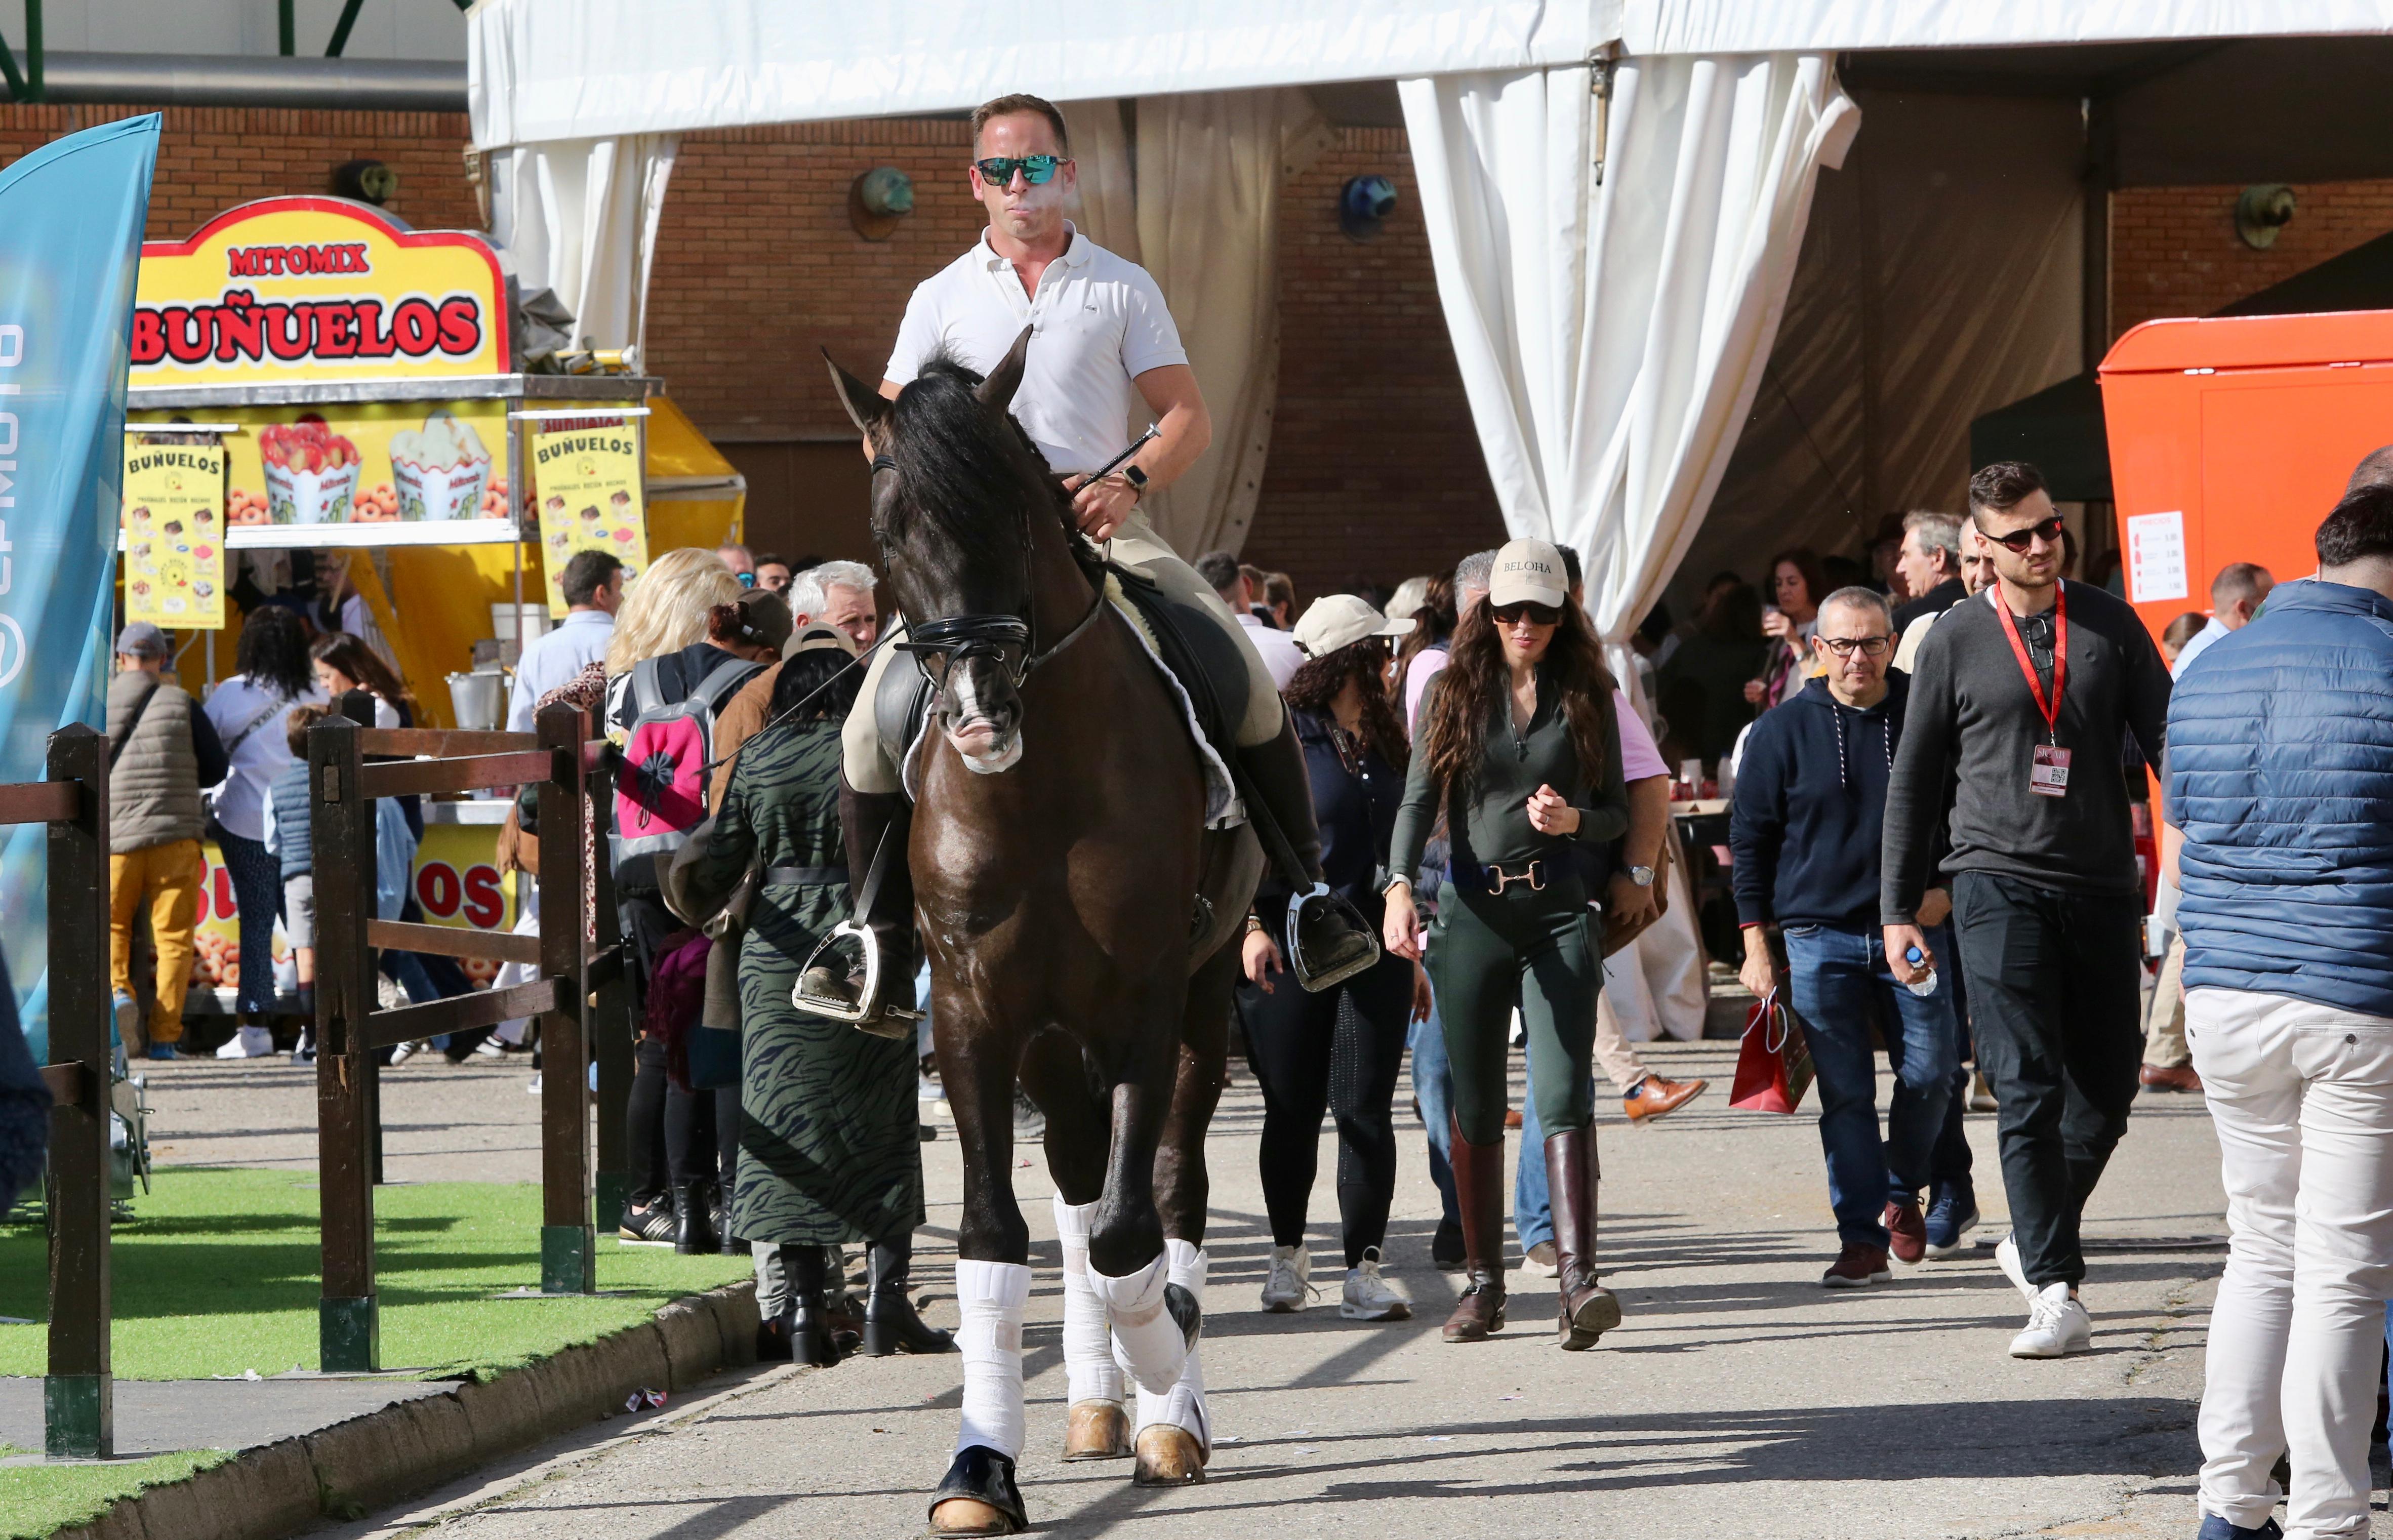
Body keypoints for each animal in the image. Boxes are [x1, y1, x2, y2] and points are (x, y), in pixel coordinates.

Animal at [832, 330, 1263, 1530]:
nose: (980, 711)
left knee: (1166, 1187)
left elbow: (1132, 1228)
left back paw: (1161, 1403)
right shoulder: (974, 1012)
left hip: (1199, 1005)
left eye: (1012, 520)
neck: (1038, 788)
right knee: (1074, 1182)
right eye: (889, 532)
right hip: (1047, 1039)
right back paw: (1092, 1403)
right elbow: (997, 1235)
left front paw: (1168, 1380)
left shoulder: (1144, 1003)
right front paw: (981, 1464)